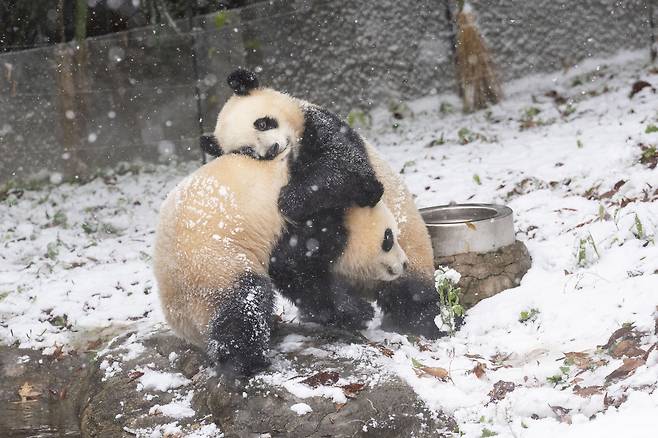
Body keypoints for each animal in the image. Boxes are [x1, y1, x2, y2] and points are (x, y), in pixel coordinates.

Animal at [155, 152, 410, 374]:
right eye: (388, 239)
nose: (405, 264)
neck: (347, 213)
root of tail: (181, 316)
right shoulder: (300, 225)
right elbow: (296, 271)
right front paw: (358, 311)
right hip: (215, 263)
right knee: (246, 303)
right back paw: (247, 361)